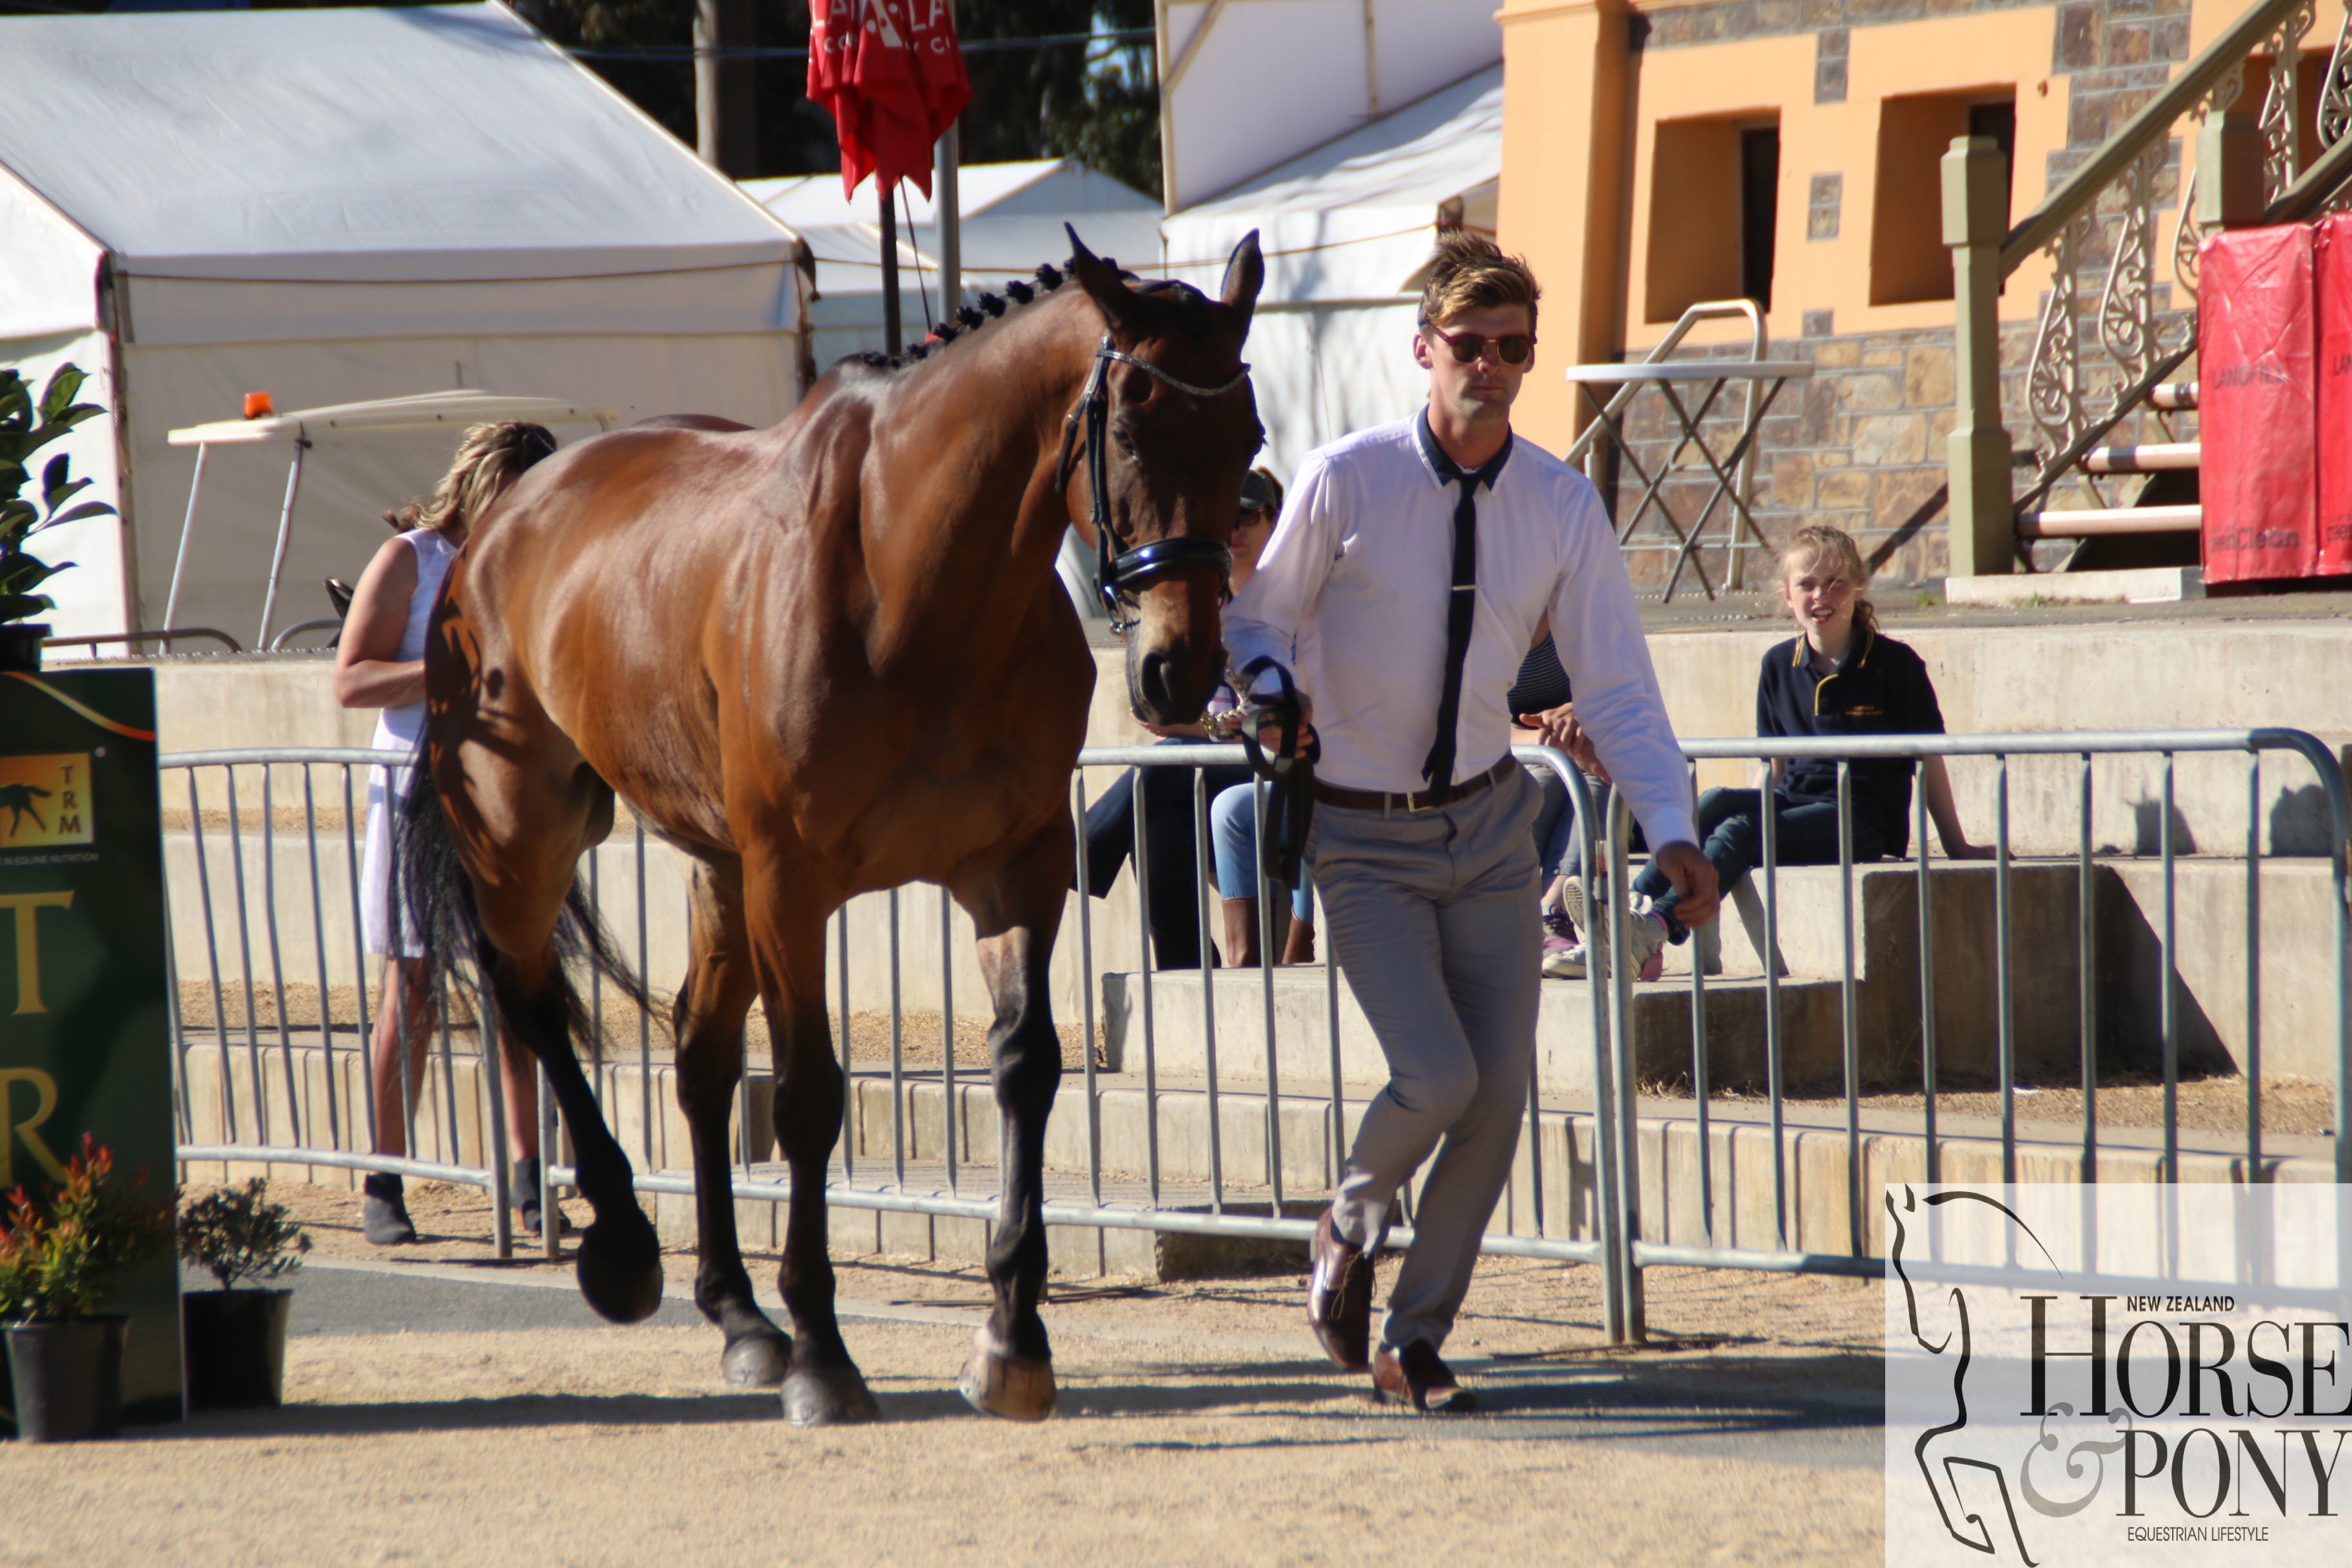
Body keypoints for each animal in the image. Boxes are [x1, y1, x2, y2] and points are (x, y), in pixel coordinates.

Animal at [404, 230, 1269, 1420]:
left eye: (1248, 437)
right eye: (1132, 426)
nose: (1178, 671)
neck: (915, 594)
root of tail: (498, 522)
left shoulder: (1016, 868)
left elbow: (1026, 1066)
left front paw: (1011, 1339)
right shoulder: (792, 879)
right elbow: (811, 1096)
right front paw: (824, 1351)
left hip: (713, 863)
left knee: (697, 1052)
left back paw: (737, 1316)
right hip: (525, 832)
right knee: (530, 995)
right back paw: (626, 1247)